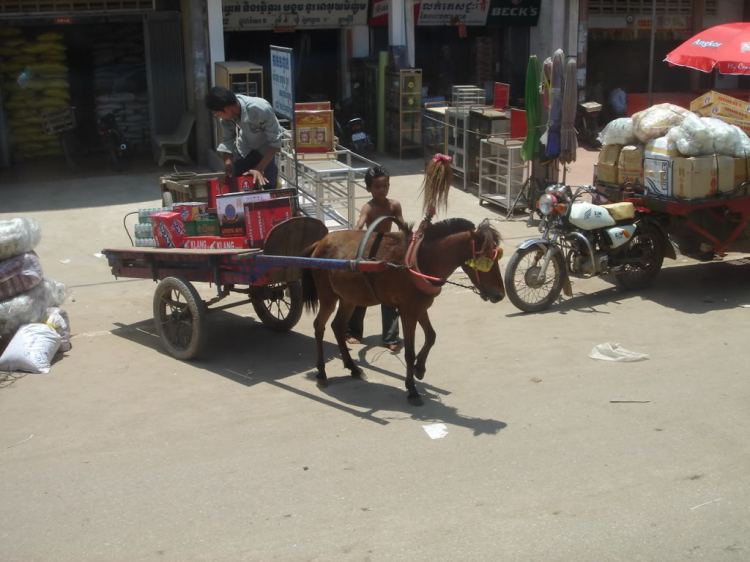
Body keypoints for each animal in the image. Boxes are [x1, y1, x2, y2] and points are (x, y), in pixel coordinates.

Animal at [300, 158, 506, 402]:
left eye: (497, 256)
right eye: (483, 259)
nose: (499, 294)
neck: (421, 261)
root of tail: (321, 242)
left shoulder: (420, 307)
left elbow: (432, 336)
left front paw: (420, 368)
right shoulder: (408, 312)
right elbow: (409, 351)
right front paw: (412, 389)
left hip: (349, 297)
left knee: (338, 326)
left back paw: (353, 368)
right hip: (328, 295)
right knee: (319, 326)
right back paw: (322, 372)